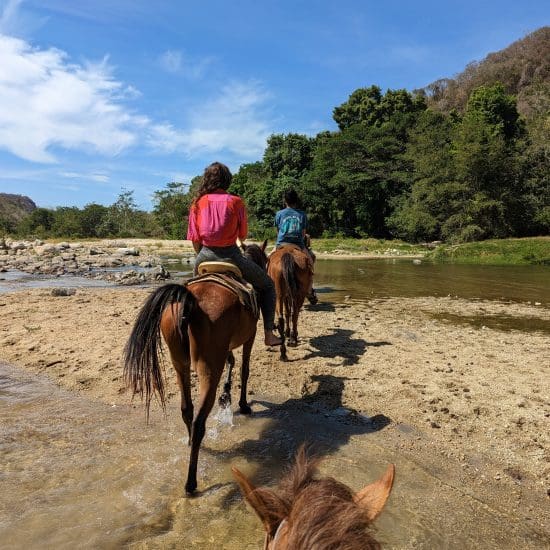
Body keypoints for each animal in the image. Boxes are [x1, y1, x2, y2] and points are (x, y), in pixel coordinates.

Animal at [123, 242, 270, 496]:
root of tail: (190, 301)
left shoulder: (227, 347)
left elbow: (232, 362)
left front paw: (226, 395)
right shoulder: (249, 338)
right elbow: (245, 369)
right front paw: (241, 404)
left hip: (180, 363)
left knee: (187, 410)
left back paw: (193, 444)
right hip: (208, 367)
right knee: (199, 420)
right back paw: (191, 483)